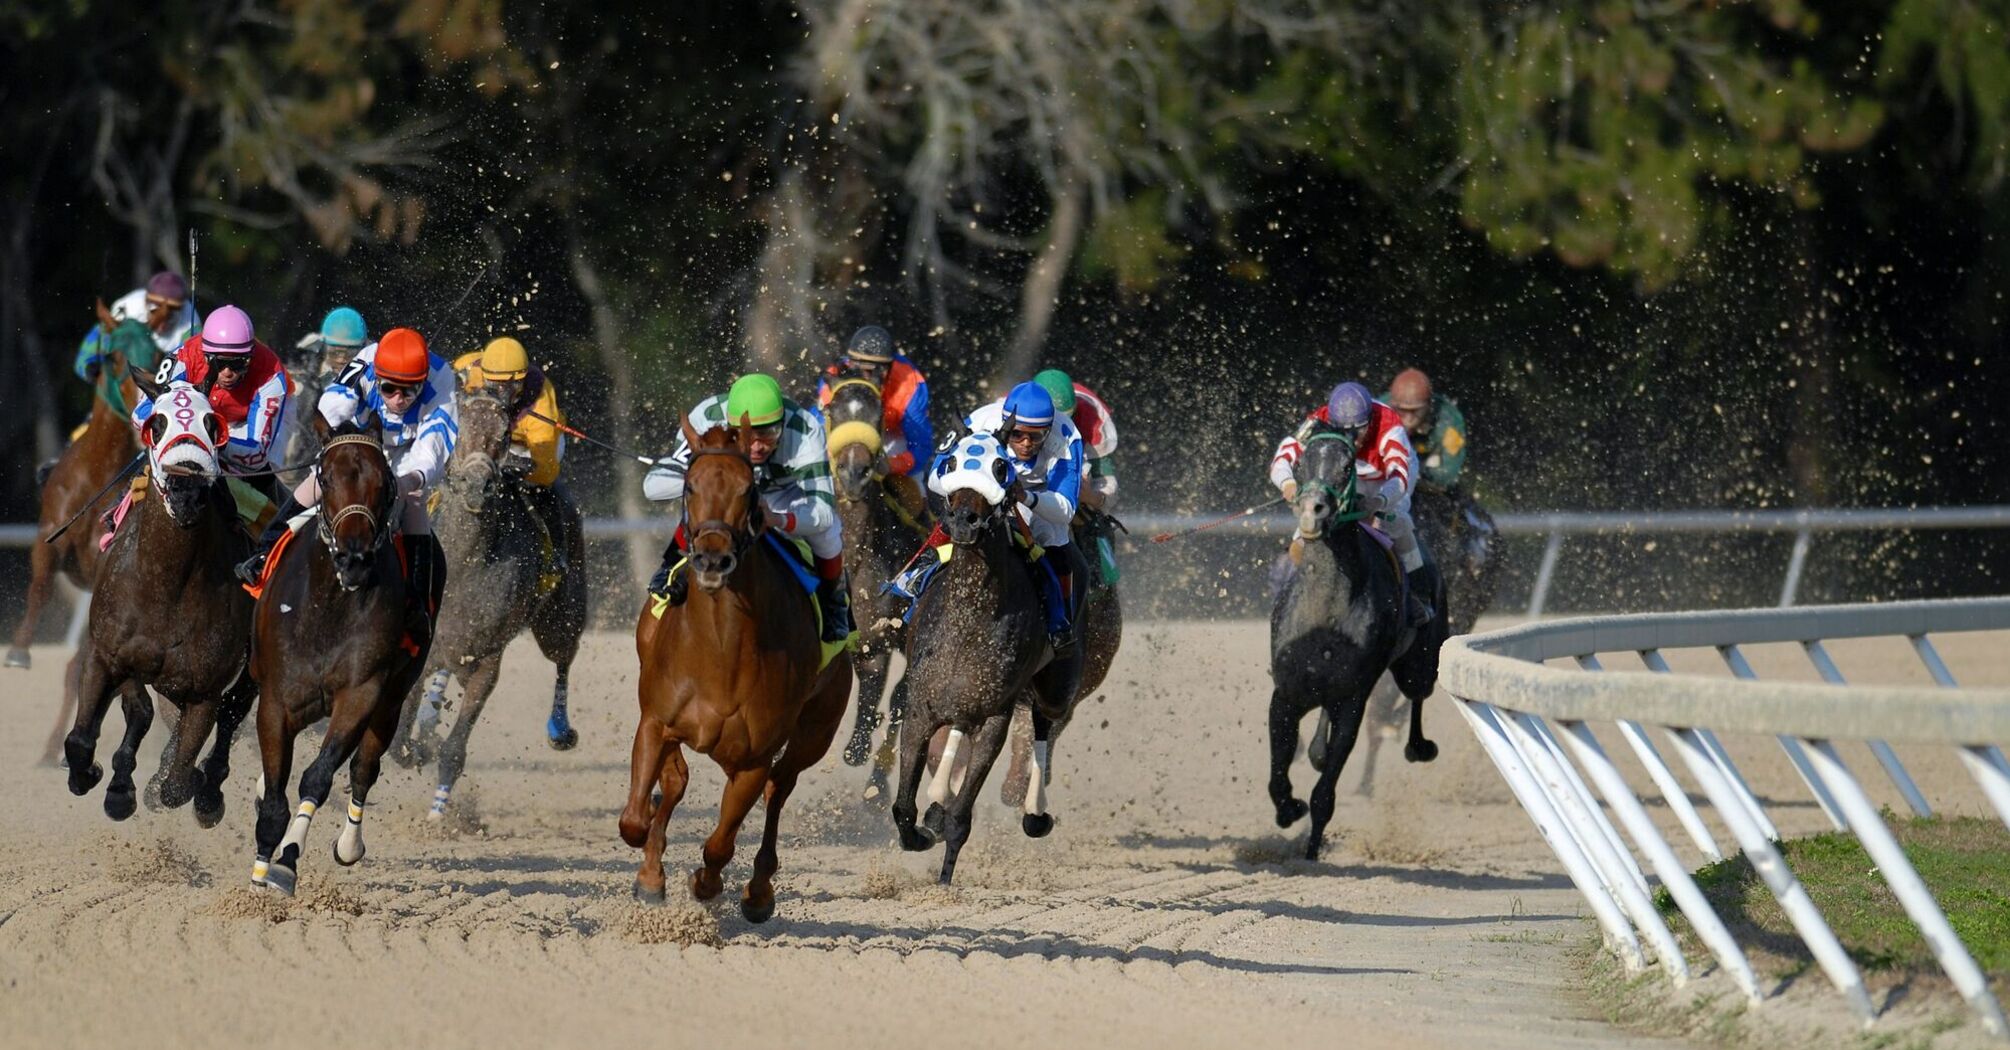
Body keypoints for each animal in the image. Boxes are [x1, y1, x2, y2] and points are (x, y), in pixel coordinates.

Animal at [66, 380, 257, 820]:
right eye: (158, 422)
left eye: (212, 423)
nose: (186, 490)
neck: (166, 584)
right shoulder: (106, 655)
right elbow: (82, 739)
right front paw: (94, 777)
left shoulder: (204, 689)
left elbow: (177, 784)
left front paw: (182, 786)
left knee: (231, 714)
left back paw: (207, 790)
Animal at [248, 414, 436, 889]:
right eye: (326, 478)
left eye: (383, 482)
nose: (354, 558)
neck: (326, 606)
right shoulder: (275, 700)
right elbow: (274, 795)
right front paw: (258, 876)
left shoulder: (361, 693)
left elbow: (319, 776)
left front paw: (285, 861)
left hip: (393, 698)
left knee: (364, 768)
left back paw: (350, 844)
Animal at [623, 416, 852, 917]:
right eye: (690, 485)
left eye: (749, 490)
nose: (712, 558)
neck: (720, 653)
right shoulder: (655, 721)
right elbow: (636, 817)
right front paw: (650, 872)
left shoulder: (753, 759)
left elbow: (720, 844)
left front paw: (707, 883)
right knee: (678, 783)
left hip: (815, 732)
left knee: (779, 788)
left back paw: (759, 890)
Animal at [896, 434, 1085, 881]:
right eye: (950, 461)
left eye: (1001, 468)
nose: (964, 521)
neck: (970, 616)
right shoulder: (920, 708)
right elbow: (902, 809)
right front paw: (922, 830)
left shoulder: (996, 717)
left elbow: (960, 818)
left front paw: (944, 879)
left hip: (1056, 685)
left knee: (1044, 721)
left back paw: (1036, 814)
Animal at [1262, 428, 1439, 852]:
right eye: (1301, 463)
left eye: (1346, 467)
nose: (1313, 510)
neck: (1327, 609)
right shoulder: (1287, 693)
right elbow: (1278, 772)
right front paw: (1288, 808)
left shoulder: (1352, 700)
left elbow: (1324, 794)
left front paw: (1310, 851)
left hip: (1419, 664)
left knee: (1419, 694)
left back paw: (1419, 746)